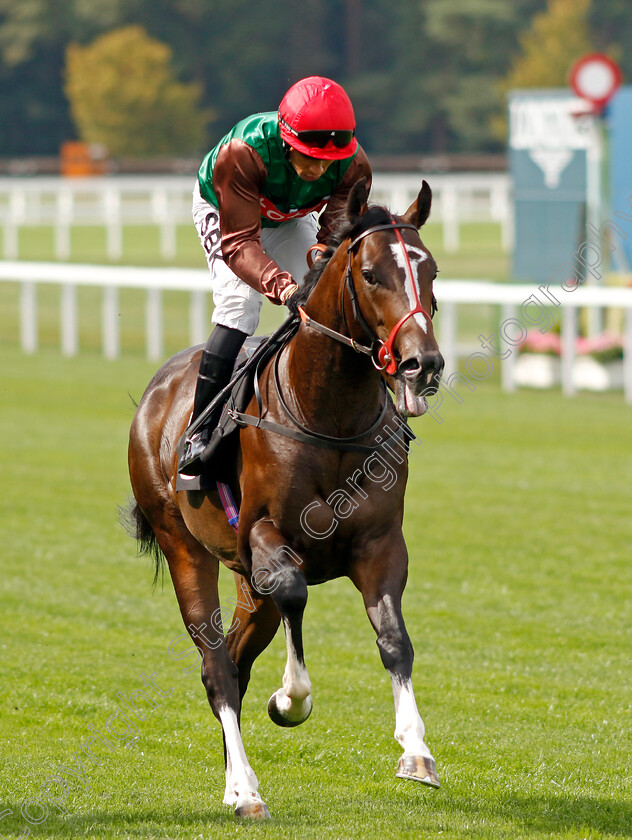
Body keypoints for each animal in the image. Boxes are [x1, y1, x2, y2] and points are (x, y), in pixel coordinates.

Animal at [127, 180, 444, 816]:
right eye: (371, 274)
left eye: (432, 271)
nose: (424, 364)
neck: (329, 414)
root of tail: (156, 391)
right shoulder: (265, 537)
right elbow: (296, 592)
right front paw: (291, 700)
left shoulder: (379, 544)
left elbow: (395, 640)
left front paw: (416, 751)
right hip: (184, 546)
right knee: (217, 665)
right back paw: (245, 790)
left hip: (249, 585)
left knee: (234, 656)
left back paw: (234, 774)